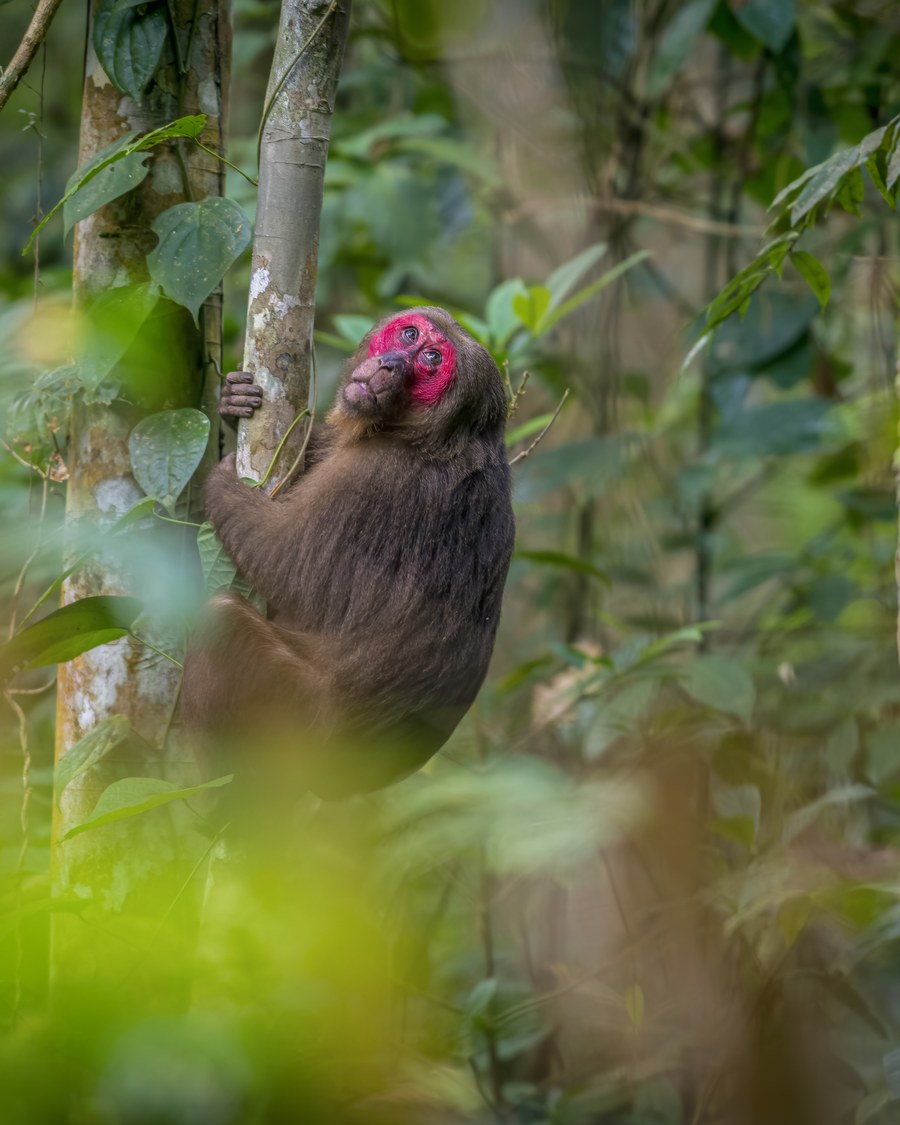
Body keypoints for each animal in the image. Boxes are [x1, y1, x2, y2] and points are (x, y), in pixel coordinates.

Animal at [181, 307, 515, 799]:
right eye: (409, 335)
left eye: (431, 359)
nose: (391, 363)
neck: (432, 438)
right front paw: (231, 401)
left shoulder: (377, 476)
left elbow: (289, 565)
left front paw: (222, 484)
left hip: (299, 723)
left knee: (221, 621)